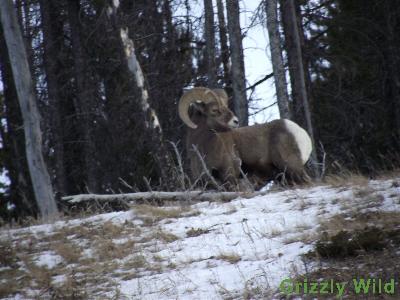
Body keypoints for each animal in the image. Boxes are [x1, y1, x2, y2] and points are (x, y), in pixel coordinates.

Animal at [178, 85, 312, 186]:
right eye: (214, 110)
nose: (235, 121)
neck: (204, 147)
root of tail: (302, 134)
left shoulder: (230, 175)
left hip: (291, 167)